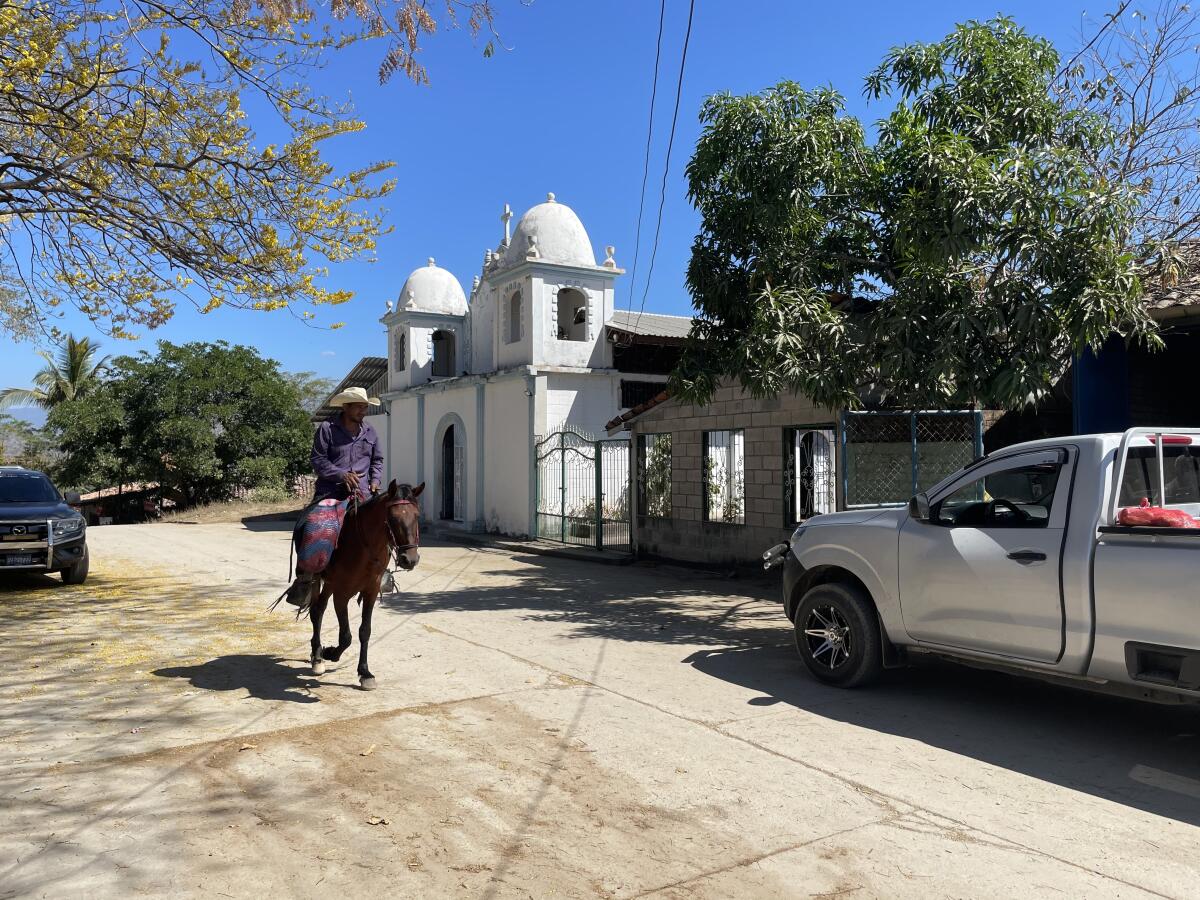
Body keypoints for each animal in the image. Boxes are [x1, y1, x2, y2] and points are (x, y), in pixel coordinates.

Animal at [307, 482, 424, 696]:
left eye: (417, 516)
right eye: (392, 518)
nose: (409, 559)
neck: (362, 546)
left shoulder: (371, 591)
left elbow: (365, 631)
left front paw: (365, 673)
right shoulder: (341, 594)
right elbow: (346, 636)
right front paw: (330, 653)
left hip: (330, 584)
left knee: (318, 609)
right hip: (321, 580)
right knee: (316, 611)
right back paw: (318, 657)